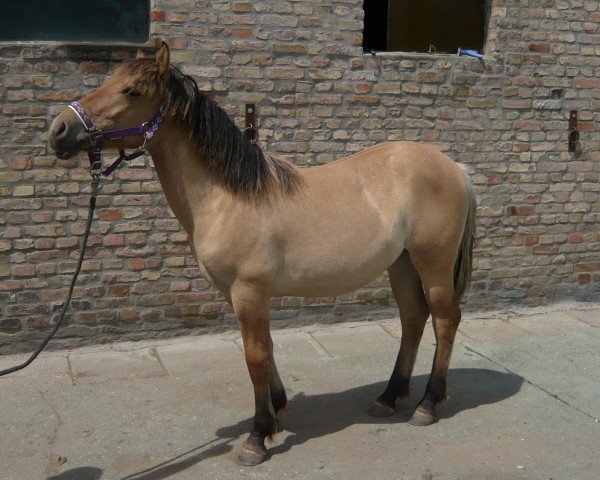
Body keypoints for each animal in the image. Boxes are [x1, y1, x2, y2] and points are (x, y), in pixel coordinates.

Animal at [49, 44, 476, 464]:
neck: (228, 197)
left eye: (131, 92)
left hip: (432, 263)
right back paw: (388, 398)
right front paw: (277, 408)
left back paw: (427, 405)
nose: (58, 130)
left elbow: (254, 356)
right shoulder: (238, 293)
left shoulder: (249, 290)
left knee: (444, 320)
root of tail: (456, 167)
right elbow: (267, 349)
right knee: (413, 318)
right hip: (401, 263)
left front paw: (256, 437)